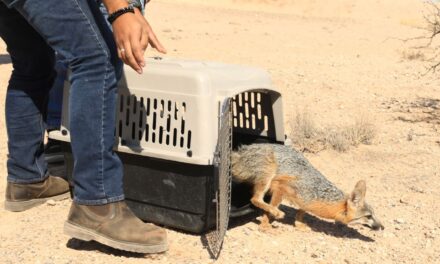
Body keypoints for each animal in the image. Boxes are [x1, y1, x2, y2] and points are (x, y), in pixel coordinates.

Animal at [232, 144, 384, 231]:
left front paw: (299, 225)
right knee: (255, 199)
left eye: (374, 215)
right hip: (268, 175)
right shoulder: (281, 187)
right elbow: (268, 210)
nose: (383, 227)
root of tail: (240, 152)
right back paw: (276, 212)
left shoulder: (306, 201)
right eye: (368, 216)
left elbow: (301, 211)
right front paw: (265, 225)